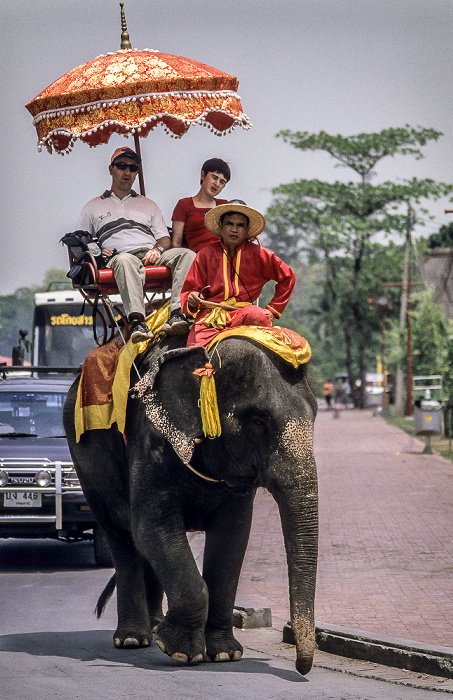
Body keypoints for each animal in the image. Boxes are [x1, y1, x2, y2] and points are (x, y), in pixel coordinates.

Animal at [62, 336, 318, 676]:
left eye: (315, 415)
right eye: (258, 421)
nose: (302, 668)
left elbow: (233, 538)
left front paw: (224, 654)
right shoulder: (151, 442)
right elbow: (151, 526)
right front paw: (181, 651)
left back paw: (155, 626)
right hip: (85, 464)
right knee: (121, 536)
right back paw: (133, 639)